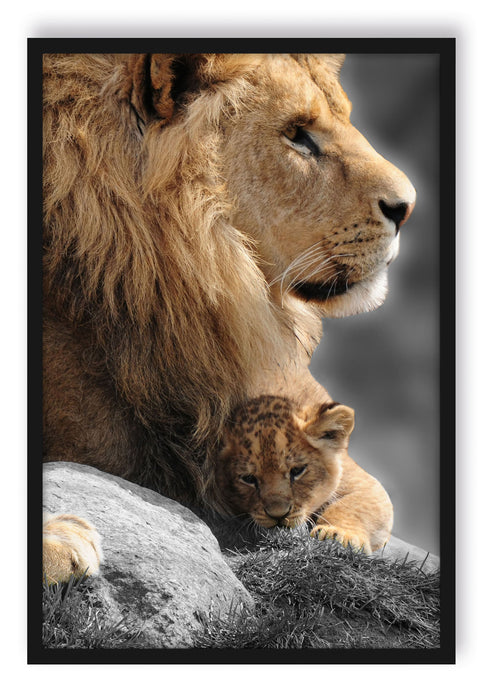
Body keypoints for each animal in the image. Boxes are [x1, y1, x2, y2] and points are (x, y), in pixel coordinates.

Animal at [215, 395, 392, 554]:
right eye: (249, 479)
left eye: (297, 471)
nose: (278, 515)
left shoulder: (363, 482)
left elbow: (351, 506)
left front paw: (336, 535)